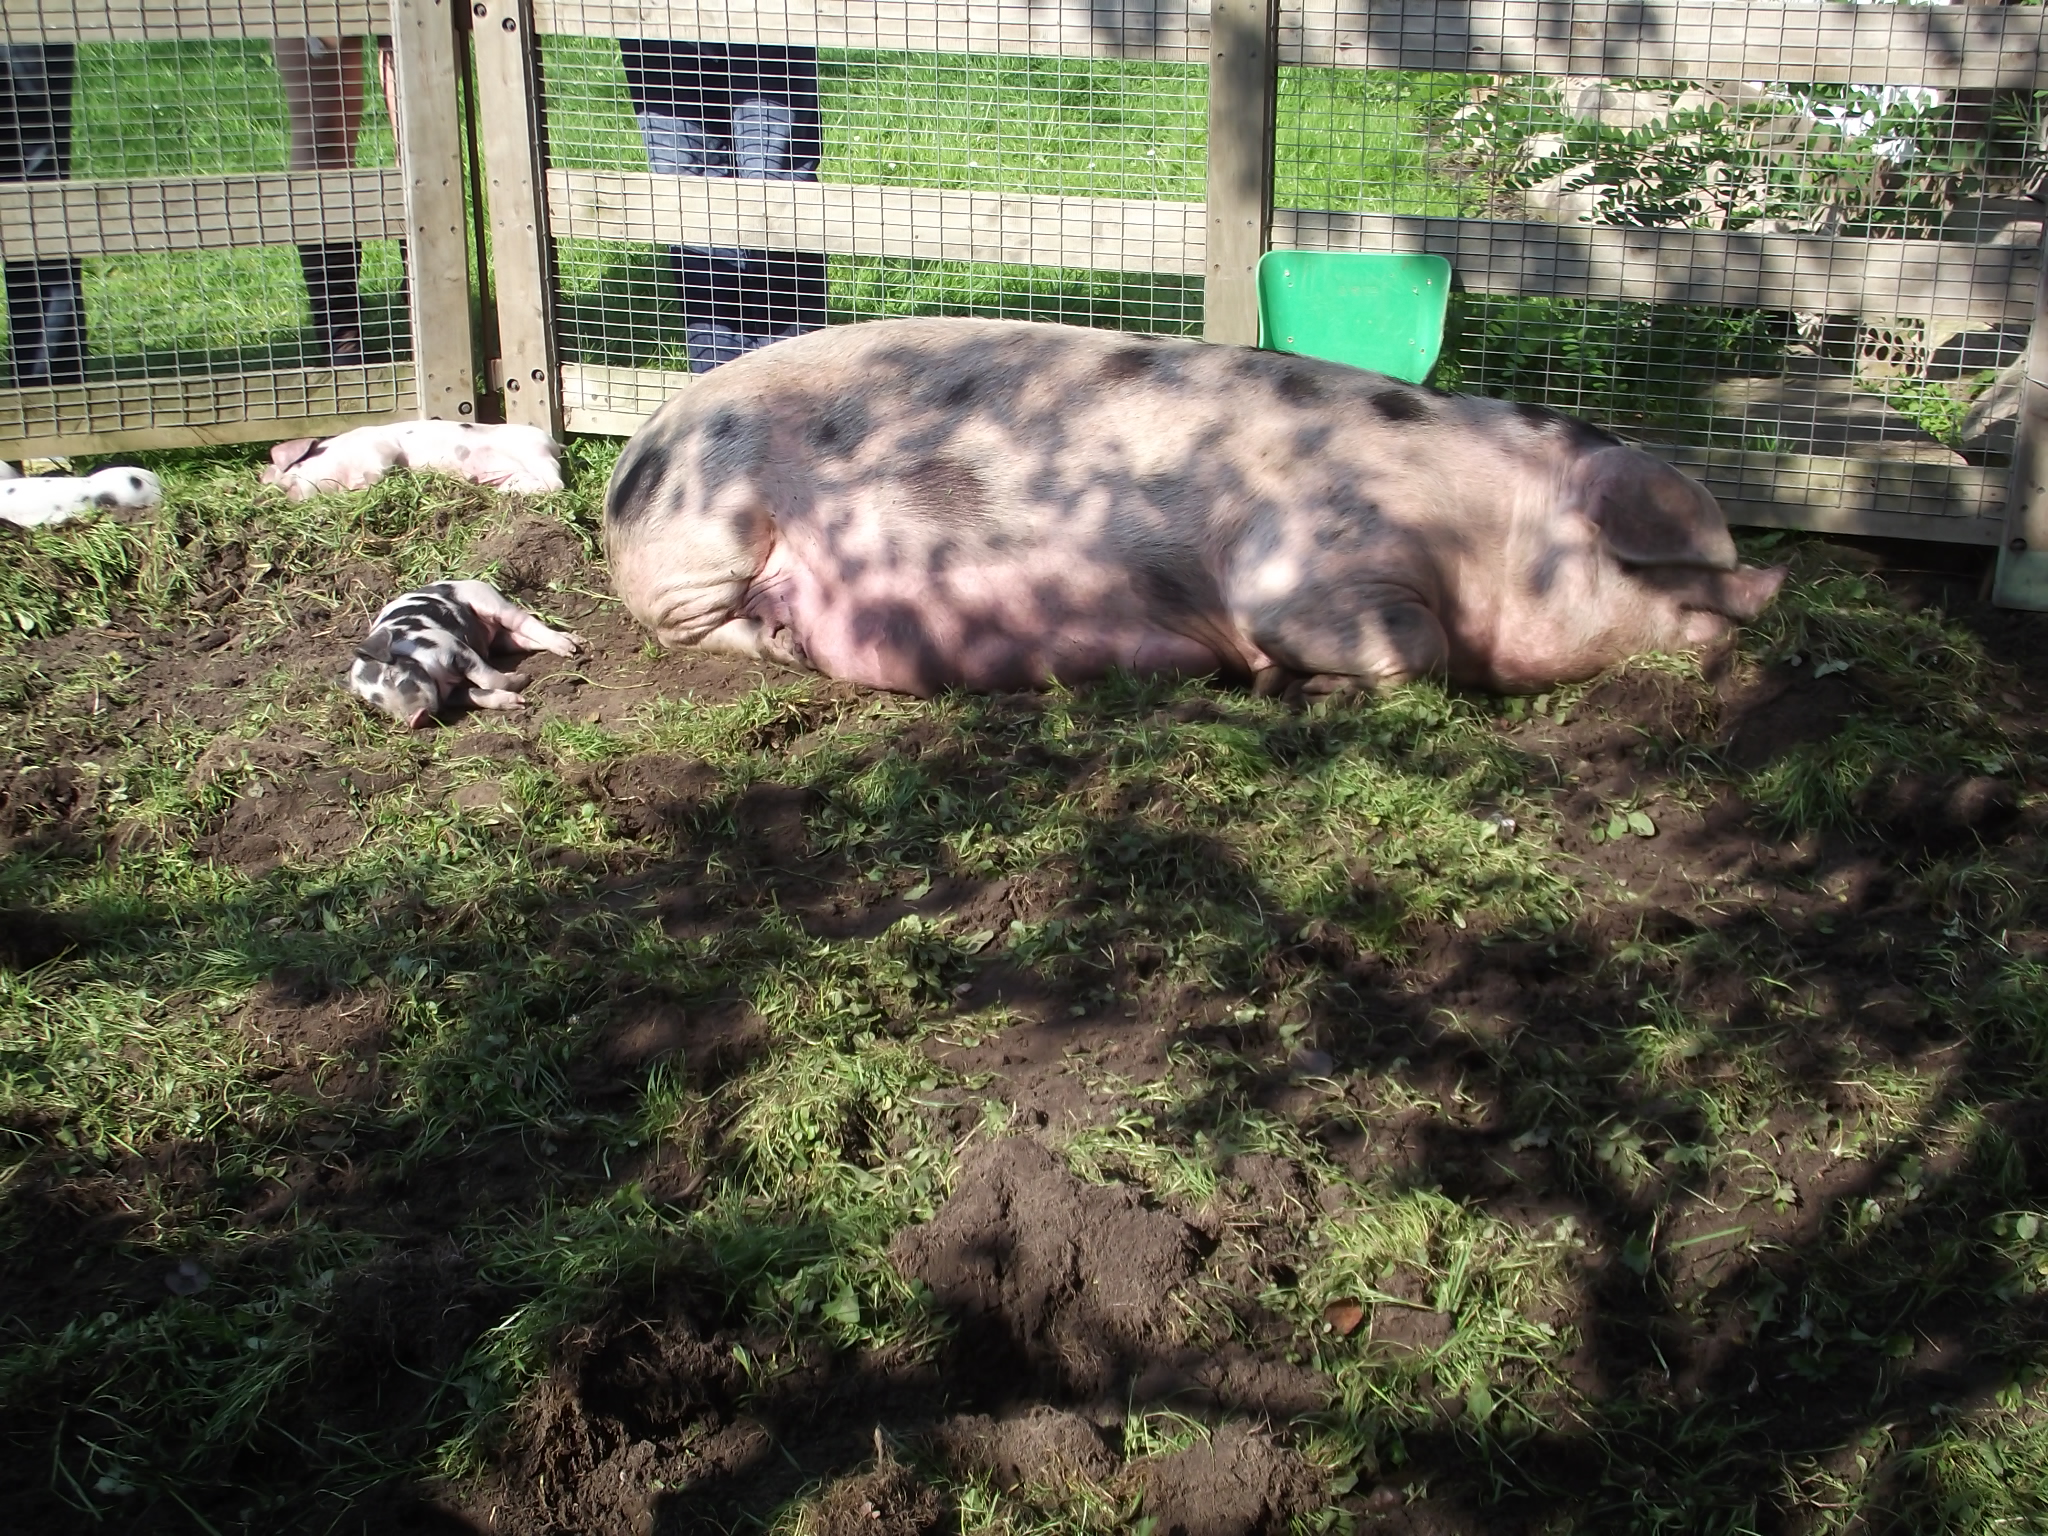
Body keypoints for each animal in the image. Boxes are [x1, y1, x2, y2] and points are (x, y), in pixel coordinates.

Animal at [598, 319, 1785, 696]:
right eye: (1652, 563)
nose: (1770, 590)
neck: (1491, 525)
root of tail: (638, 450)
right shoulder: (1303, 563)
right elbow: (1413, 649)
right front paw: (1275, 681)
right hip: (706, 534)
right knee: (694, 623)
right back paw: (784, 641)